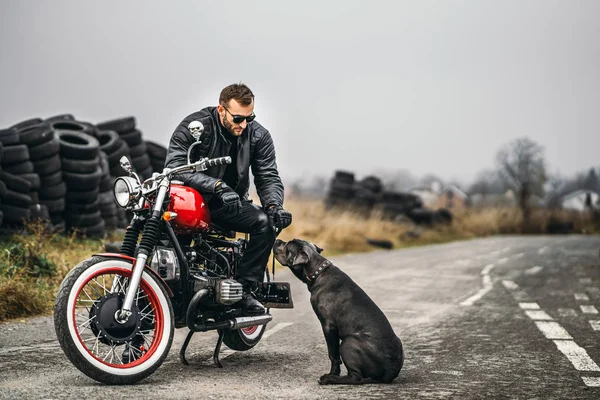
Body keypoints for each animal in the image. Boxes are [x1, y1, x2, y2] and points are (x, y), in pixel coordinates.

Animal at [274, 238, 406, 384]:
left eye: (287, 246)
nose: (277, 240)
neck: (317, 271)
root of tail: (391, 372)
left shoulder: (328, 325)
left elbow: (333, 355)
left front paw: (332, 373)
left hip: (348, 343)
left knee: (355, 377)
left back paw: (330, 379)